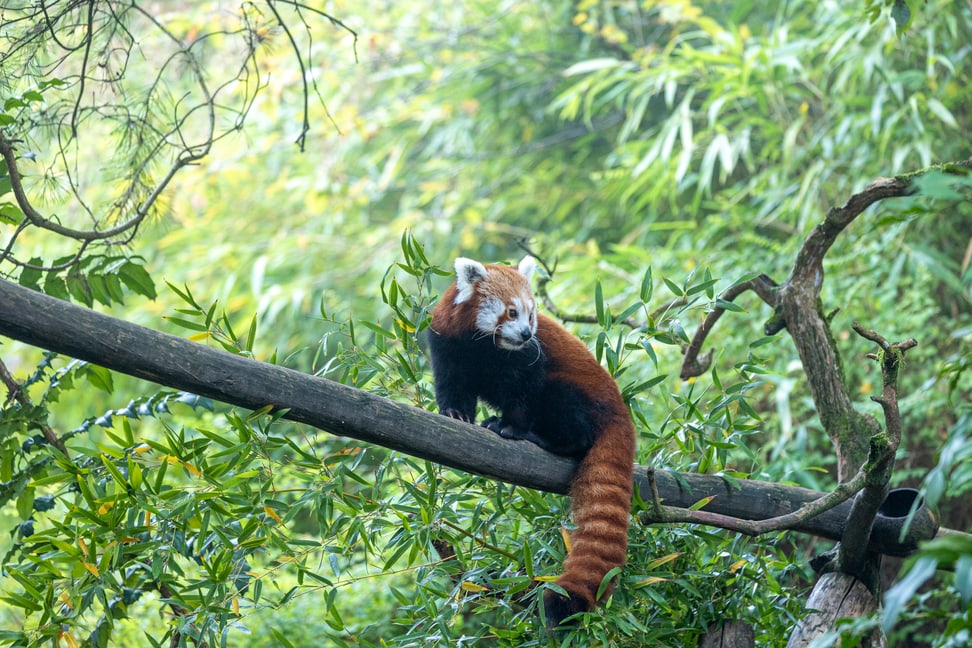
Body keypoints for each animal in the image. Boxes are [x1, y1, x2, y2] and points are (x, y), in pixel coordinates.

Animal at [428, 256, 636, 624]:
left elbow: (524, 393)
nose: (526, 333)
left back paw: (541, 437)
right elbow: (452, 384)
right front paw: (455, 413)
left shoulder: (526, 359)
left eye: (531, 313)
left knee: (567, 412)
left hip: (579, 395)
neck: (482, 346)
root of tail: (621, 413)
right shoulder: (448, 345)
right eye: (512, 312)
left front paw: (511, 427)